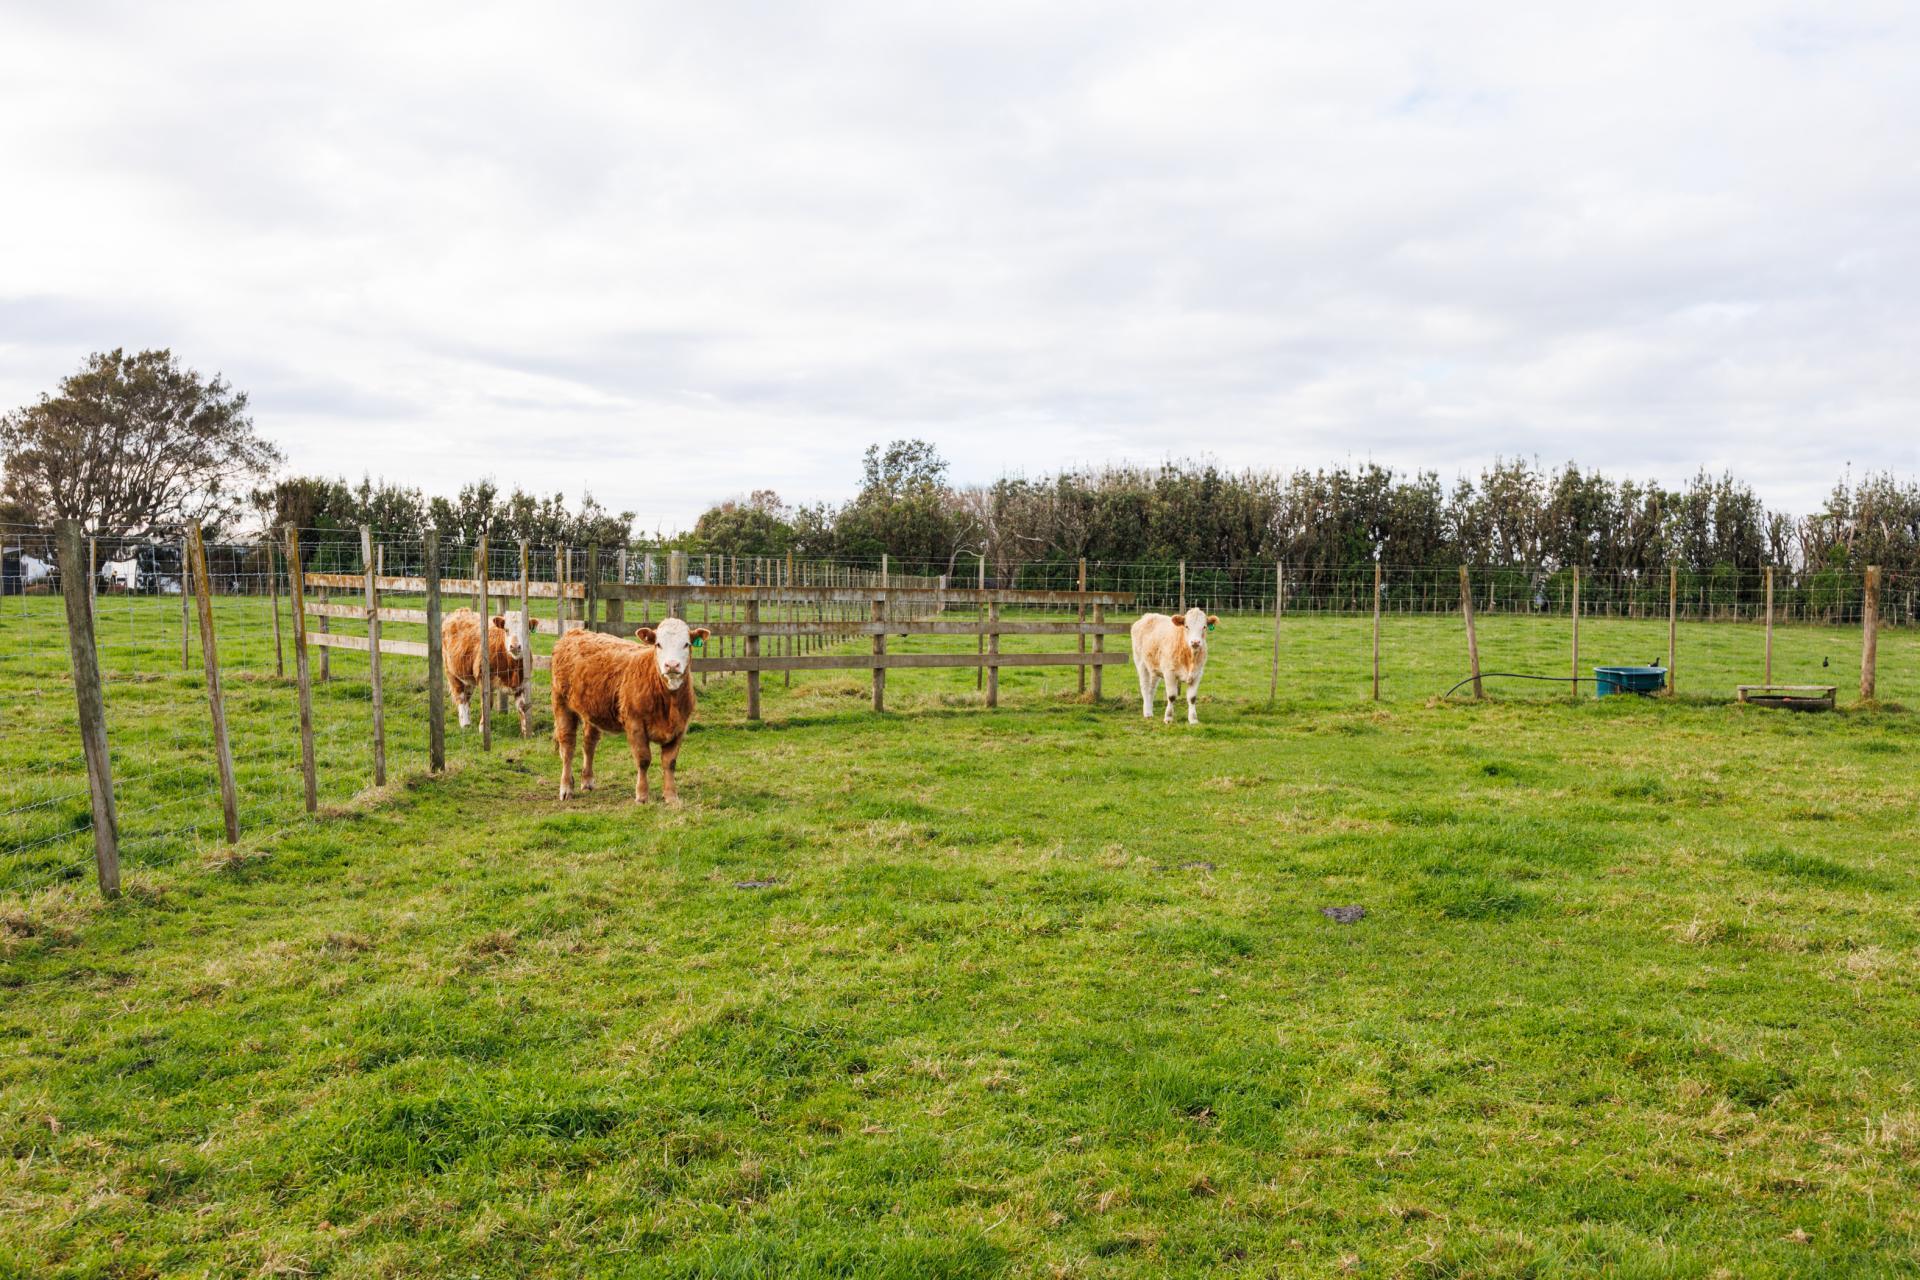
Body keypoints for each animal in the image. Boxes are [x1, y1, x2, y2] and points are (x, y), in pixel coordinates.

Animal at [442, 608, 540, 737]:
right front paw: (483, 728)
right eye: (506, 630)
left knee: (467, 697)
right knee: (461, 697)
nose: (514, 647)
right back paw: (464, 724)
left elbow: (522, 706)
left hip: (468, 677)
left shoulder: (522, 682)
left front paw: (526, 731)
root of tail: (461, 611)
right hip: (452, 673)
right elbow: (487, 703)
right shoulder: (484, 679)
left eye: (525, 631)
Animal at [550, 617, 710, 805]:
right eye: (658, 644)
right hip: (561, 703)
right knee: (568, 746)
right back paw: (566, 788)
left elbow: (669, 762)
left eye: (686, 644)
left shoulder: (680, 727)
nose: (671, 665)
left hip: (592, 711)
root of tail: (574, 632)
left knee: (589, 744)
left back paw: (587, 781)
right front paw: (642, 796)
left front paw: (671, 797)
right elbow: (643, 760)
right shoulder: (635, 723)